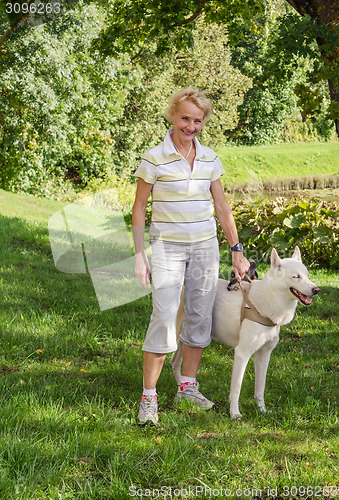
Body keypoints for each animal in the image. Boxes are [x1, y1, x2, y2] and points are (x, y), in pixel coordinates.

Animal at [173, 248, 322, 420]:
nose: (316, 290)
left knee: (174, 362)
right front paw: (234, 414)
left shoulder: (264, 354)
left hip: (185, 340)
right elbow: (236, 388)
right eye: (296, 276)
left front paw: (262, 410)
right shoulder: (242, 354)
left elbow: (260, 388)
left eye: (307, 275)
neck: (266, 302)